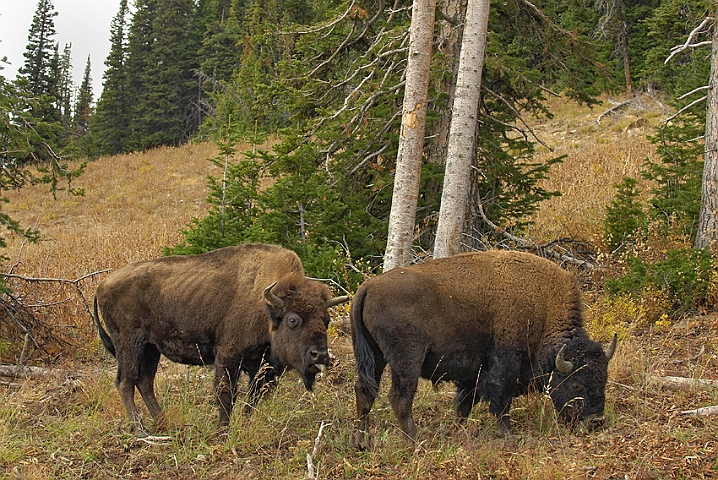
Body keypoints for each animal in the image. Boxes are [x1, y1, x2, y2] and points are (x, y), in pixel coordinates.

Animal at [93, 244, 352, 432]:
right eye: (293, 320)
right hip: (130, 344)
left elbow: (253, 396)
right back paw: (141, 430)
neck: (266, 306)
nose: (320, 355)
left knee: (144, 382)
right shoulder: (228, 355)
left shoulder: (263, 366)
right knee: (126, 382)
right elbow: (226, 393)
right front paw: (223, 429)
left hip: (150, 348)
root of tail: (102, 284)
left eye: (326, 321)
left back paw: (164, 423)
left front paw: (245, 423)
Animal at [352, 251, 616, 446]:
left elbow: (465, 404)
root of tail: (369, 286)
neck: (541, 311)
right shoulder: (504, 362)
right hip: (407, 360)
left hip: (375, 356)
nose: (596, 420)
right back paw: (414, 443)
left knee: (365, 392)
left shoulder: (473, 373)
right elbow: (500, 399)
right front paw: (508, 436)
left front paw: (457, 431)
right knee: (400, 398)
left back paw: (362, 443)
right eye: (576, 383)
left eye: (603, 378)